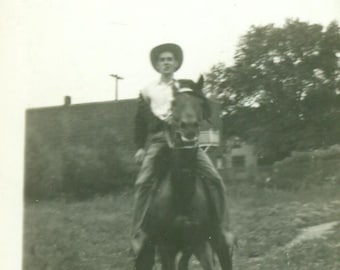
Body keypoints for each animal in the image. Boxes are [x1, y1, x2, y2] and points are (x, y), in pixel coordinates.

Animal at [141, 76, 234, 270]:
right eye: (173, 103)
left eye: (201, 103)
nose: (189, 127)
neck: (182, 192)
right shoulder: (166, 247)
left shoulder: (198, 241)